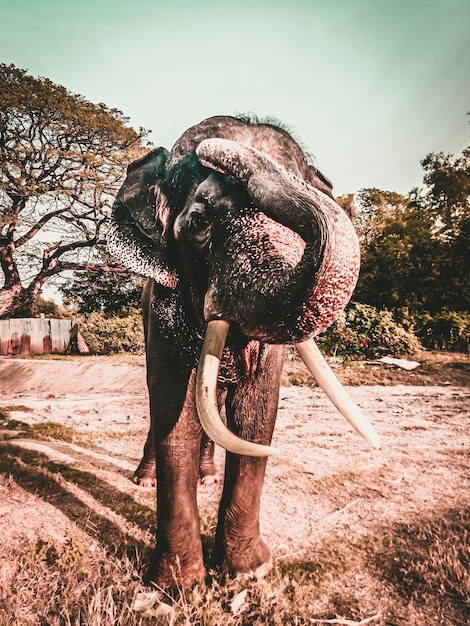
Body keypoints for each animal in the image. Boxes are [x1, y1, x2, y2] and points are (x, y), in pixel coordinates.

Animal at [107, 114, 382, 588]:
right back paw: (144, 480)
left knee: (215, 403)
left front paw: (248, 572)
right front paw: (178, 586)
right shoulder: (163, 307)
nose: (214, 151)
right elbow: (175, 410)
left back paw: (207, 476)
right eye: (198, 223)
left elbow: (256, 413)